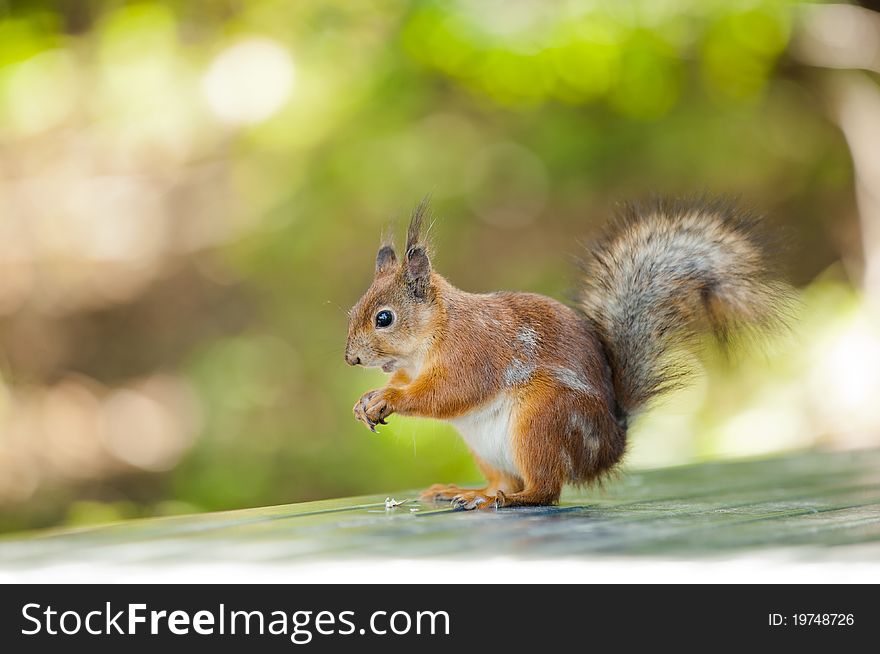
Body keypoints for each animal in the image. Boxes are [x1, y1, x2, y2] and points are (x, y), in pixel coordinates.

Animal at [344, 197, 792, 510]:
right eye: (352, 311)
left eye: (384, 318)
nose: (351, 359)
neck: (430, 338)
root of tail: (608, 445)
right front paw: (366, 401)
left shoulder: (474, 351)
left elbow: (449, 392)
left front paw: (389, 398)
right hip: (488, 449)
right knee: (508, 480)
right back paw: (469, 491)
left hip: (543, 422)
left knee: (543, 490)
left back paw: (502, 500)